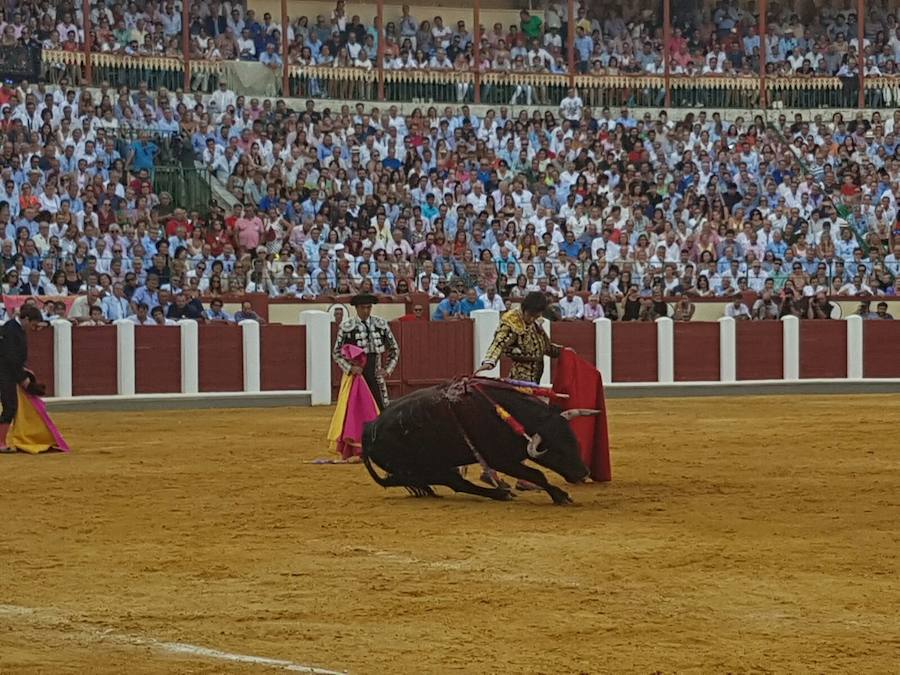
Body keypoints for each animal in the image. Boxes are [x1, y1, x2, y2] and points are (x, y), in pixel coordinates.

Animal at [362, 378, 596, 504]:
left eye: (575, 443)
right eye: (557, 452)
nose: (583, 472)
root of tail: (370, 429)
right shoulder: (500, 459)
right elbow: (537, 474)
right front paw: (560, 495)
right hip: (424, 469)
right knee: (458, 484)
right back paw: (500, 494)